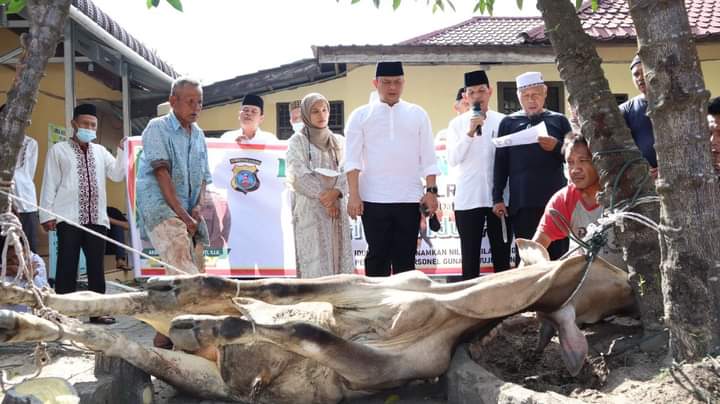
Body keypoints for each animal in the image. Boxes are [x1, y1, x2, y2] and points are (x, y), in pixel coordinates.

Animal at [0, 241, 632, 402]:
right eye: (610, 273)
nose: (633, 279)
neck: (450, 306)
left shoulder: (377, 372)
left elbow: (301, 329)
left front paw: (223, 328)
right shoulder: (365, 284)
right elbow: (279, 292)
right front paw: (222, 305)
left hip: (201, 378)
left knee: (114, 339)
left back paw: (20, 317)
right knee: (132, 303)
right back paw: (20, 296)